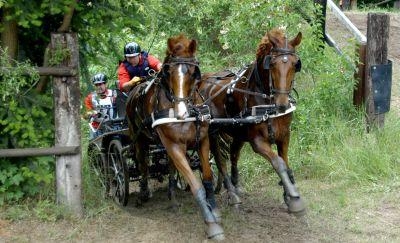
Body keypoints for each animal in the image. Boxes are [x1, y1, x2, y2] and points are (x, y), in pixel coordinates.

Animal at [126, 34, 223, 239]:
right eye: (168, 72)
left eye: (194, 72)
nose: (181, 113)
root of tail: (137, 88)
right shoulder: (174, 145)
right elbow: (196, 185)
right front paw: (211, 224)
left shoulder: (202, 140)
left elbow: (207, 177)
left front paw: (214, 208)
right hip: (139, 138)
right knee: (142, 163)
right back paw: (143, 194)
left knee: (169, 165)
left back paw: (172, 196)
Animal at [198, 28, 304, 214]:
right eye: (272, 64)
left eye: (294, 64)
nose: (282, 104)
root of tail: (204, 79)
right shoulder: (257, 141)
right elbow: (279, 163)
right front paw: (293, 196)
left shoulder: (284, 136)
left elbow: (286, 164)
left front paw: (289, 195)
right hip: (212, 133)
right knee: (220, 161)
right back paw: (232, 194)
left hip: (238, 133)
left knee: (234, 154)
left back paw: (236, 185)